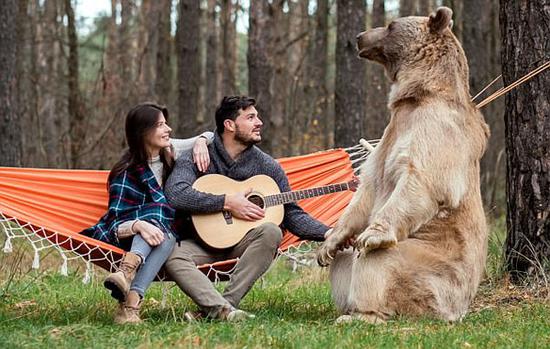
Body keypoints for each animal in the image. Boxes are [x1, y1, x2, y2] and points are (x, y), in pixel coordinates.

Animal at [320, 6, 492, 322]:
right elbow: (367, 189)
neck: (415, 96)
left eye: (390, 25)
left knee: (378, 263)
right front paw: (326, 244)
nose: (360, 36)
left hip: (432, 269)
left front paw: (371, 235)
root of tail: (457, 310)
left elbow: (421, 178)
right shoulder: (390, 133)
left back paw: (363, 313)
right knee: (344, 259)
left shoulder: (435, 128)